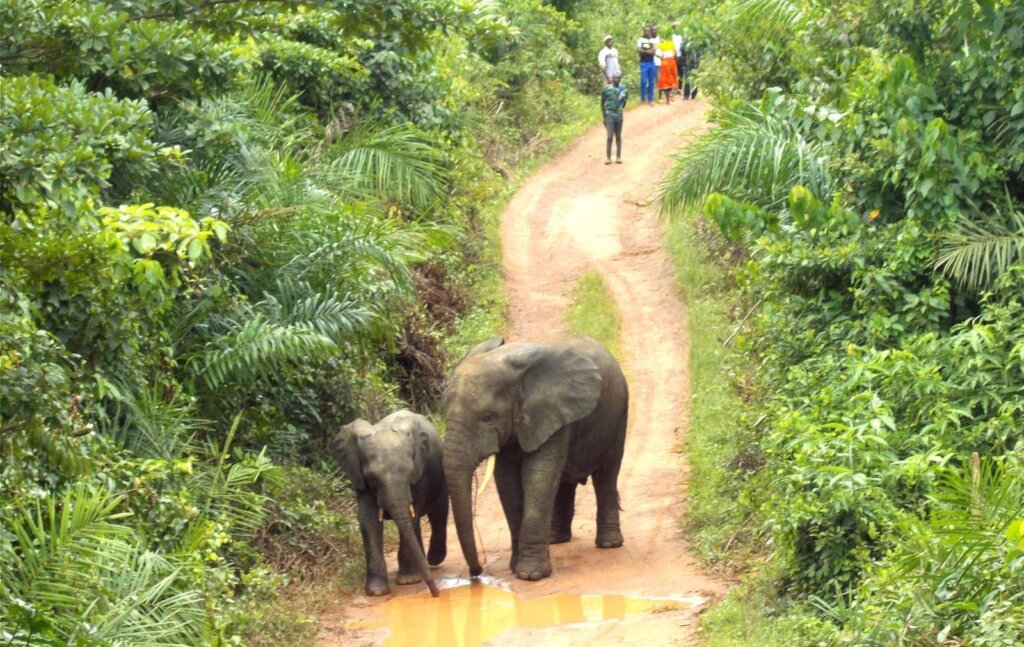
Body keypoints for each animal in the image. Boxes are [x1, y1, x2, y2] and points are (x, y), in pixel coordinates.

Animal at [332, 410, 448, 597]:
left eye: (409, 473)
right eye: (372, 477)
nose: (436, 594)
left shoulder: (419, 474)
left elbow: (411, 514)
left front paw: (408, 581)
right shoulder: (360, 479)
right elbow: (368, 520)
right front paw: (376, 591)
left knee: (438, 512)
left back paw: (432, 560)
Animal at [441, 336, 629, 582]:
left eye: (488, 418)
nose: (476, 572)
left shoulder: (551, 411)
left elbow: (538, 476)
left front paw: (531, 575)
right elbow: (508, 483)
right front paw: (516, 568)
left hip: (618, 415)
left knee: (606, 476)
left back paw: (609, 543)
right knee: (564, 482)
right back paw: (555, 539)